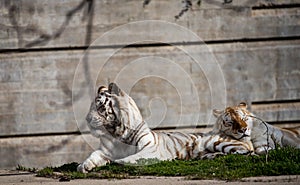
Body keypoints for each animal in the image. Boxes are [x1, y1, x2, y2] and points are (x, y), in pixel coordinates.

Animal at [77, 83, 253, 173]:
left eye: (100, 107)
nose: (86, 119)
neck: (117, 133)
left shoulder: (150, 149)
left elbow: (133, 157)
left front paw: (117, 163)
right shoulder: (105, 151)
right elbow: (94, 155)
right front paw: (84, 166)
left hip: (216, 142)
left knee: (247, 153)